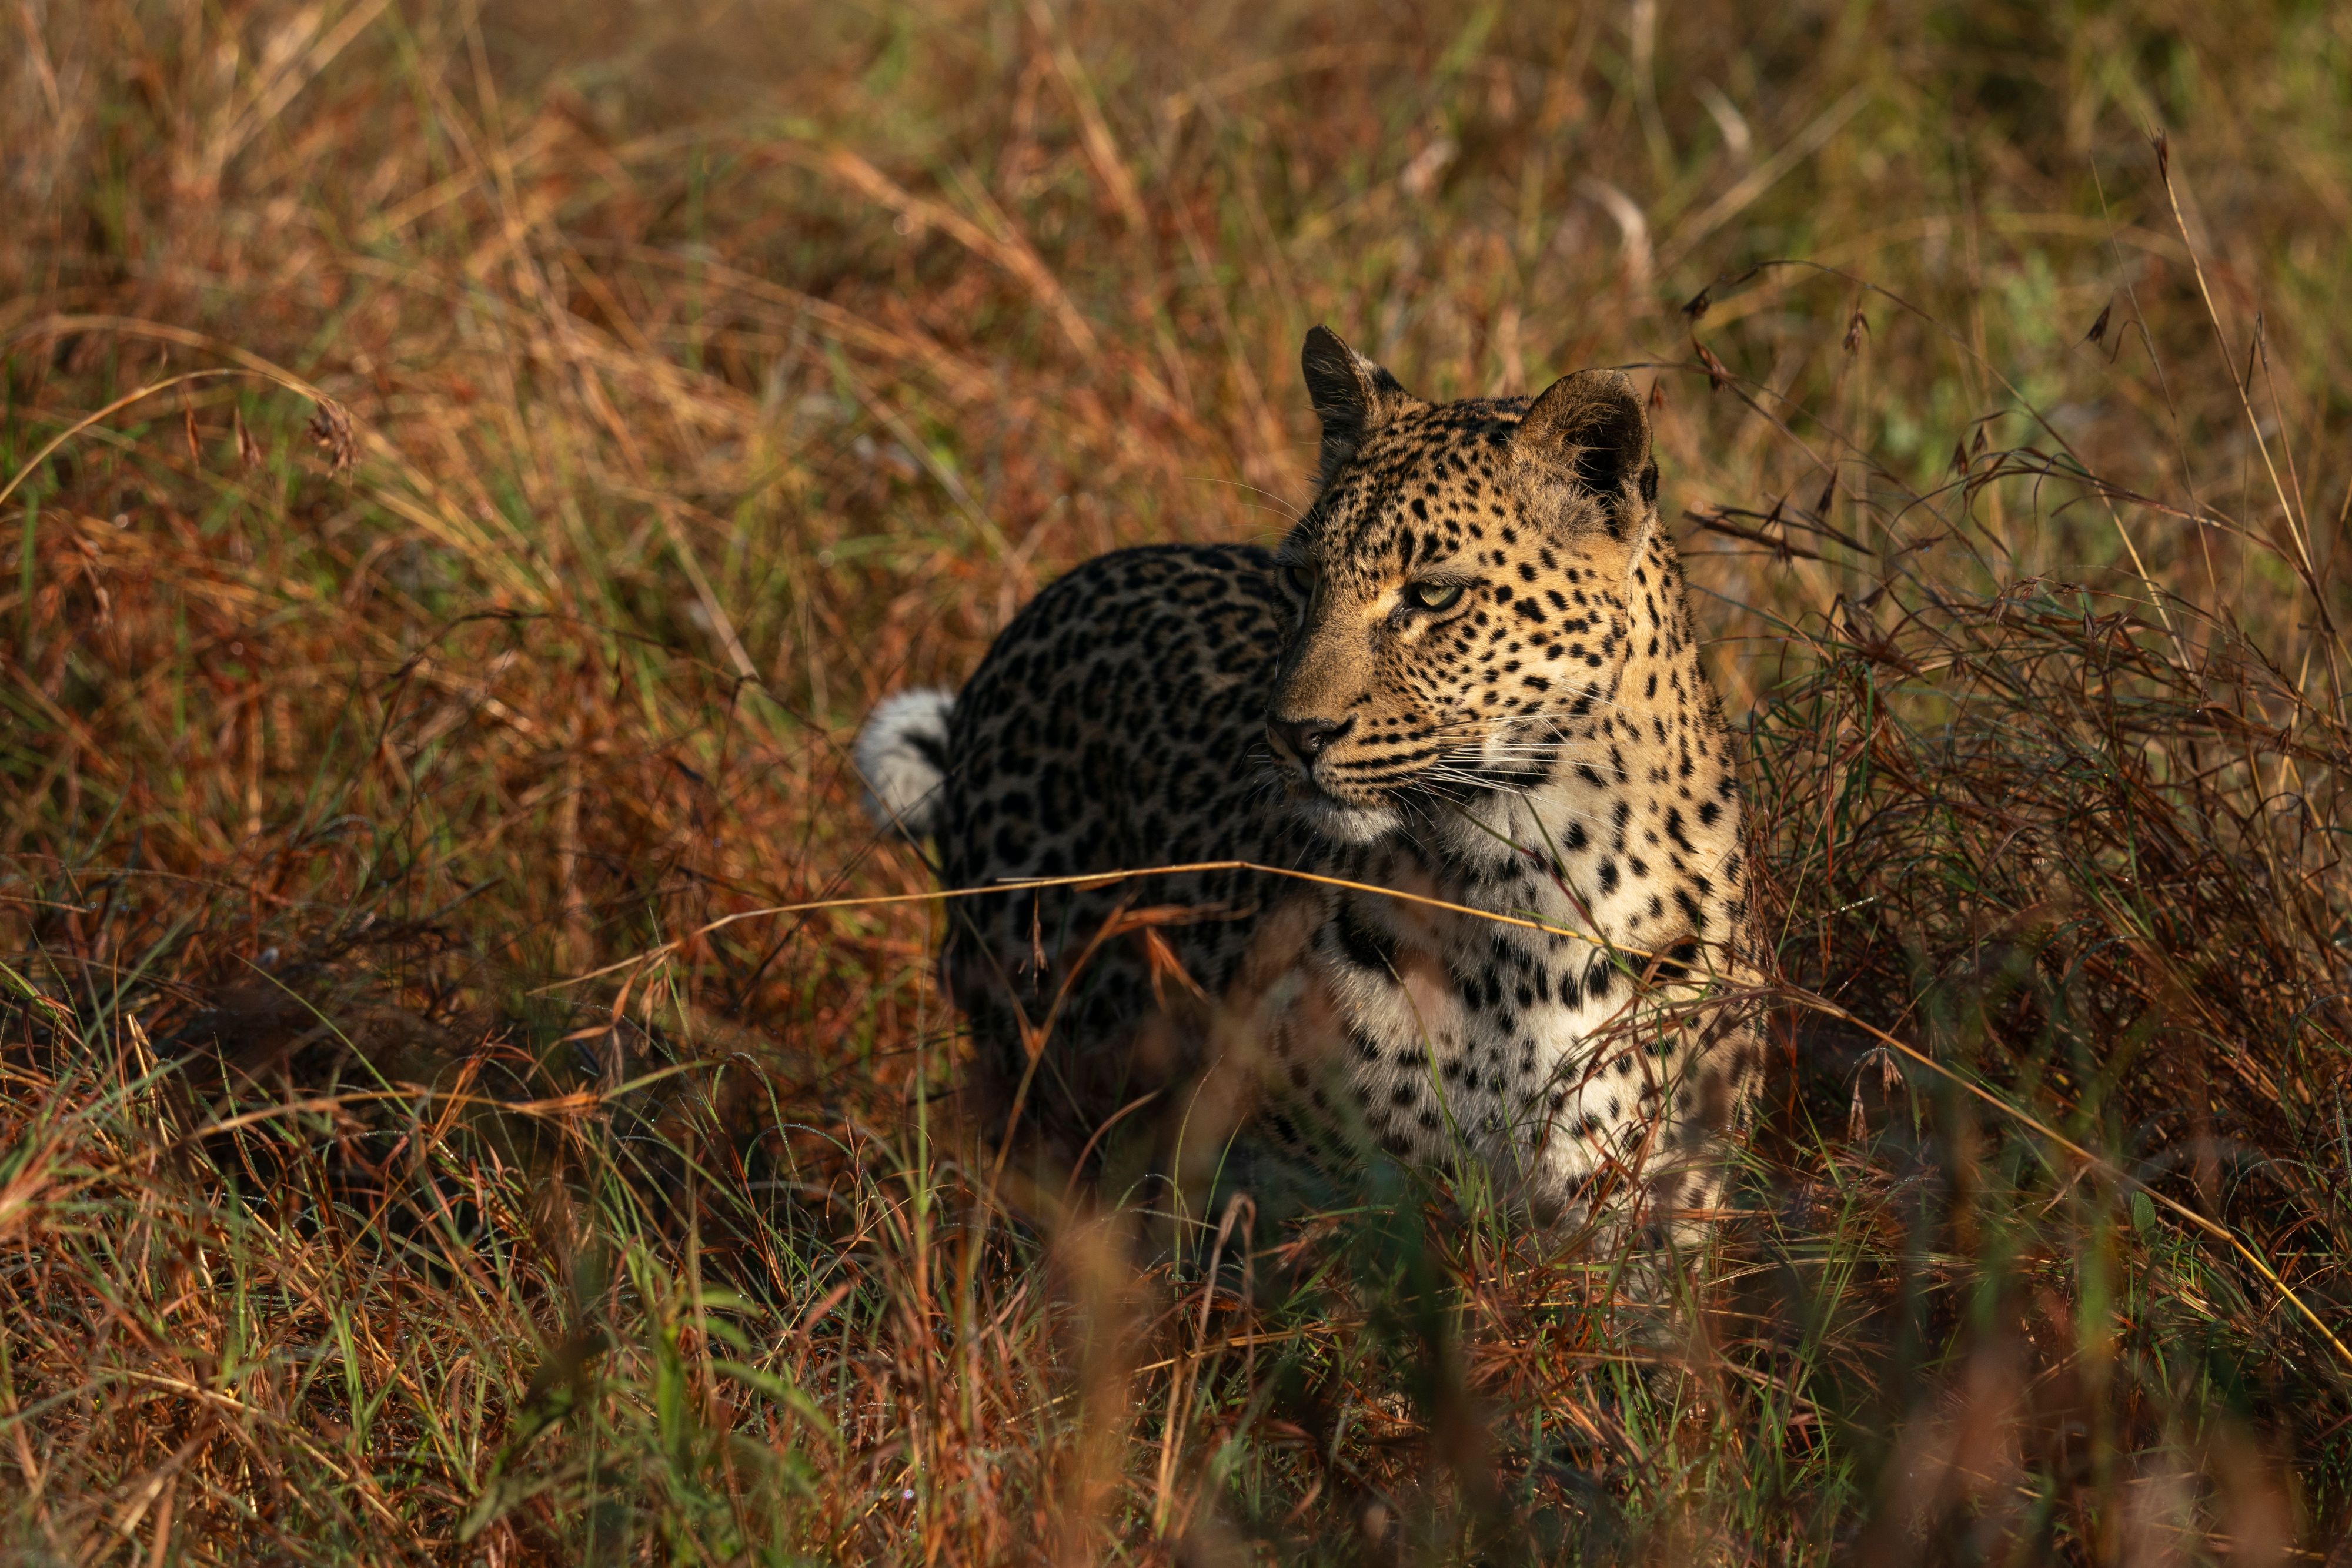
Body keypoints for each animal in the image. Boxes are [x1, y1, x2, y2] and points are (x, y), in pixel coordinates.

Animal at [856, 324, 1759, 1241]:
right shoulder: (1304, 1198)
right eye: (1300, 579)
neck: (1521, 891)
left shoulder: (1656, 1210)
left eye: (1434, 593)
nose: (1294, 733)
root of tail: (1053, 597)